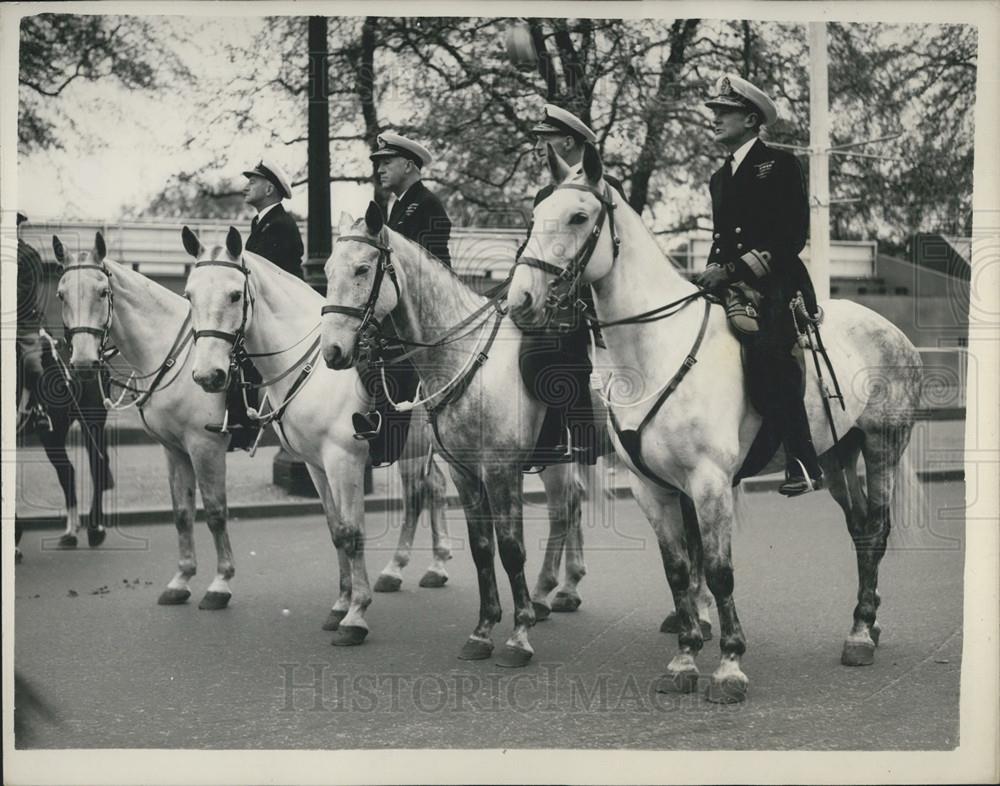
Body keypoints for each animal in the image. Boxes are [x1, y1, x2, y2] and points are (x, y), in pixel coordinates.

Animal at [183, 224, 454, 640]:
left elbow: (353, 532)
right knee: (431, 491)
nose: (207, 375)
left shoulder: (344, 461)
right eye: (189, 295)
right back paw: (421, 568)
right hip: (420, 450)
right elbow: (337, 531)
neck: (312, 369)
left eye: (234, 294)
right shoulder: (315, 465)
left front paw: (356, 614)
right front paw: (341, 604)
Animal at [320, 204, 600, 668]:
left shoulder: (501, 471)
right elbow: (482, 547)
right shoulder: (463, 473)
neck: (461, 356)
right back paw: (559, 591)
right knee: (570, 507)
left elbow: (511, 548)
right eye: (326, 269)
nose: (332, 351)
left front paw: (519, 635)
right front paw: (483, 631)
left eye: (362, 268)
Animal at [504, 144, 924, 700]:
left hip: (881, 446)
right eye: (535, 215)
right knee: (858, 529)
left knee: (876, 528)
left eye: (578, 216)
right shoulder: (652, 488)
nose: (520, 300)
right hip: (837, 455)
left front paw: (729, 665)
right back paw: (865, 623)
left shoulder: (709, 483)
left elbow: (719, 571)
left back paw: (859, 634)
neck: (655, 352)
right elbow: (679, 570)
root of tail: (891, 330)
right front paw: (684, 658)